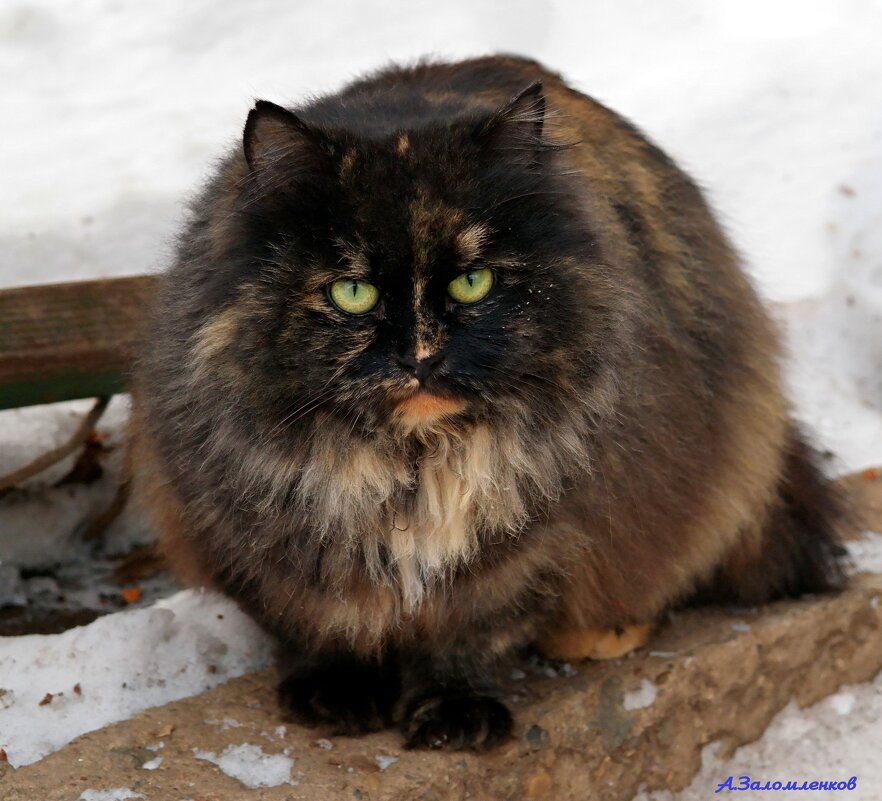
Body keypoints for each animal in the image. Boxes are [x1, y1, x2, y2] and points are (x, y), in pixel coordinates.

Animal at [127, 54, 844, 752]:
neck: (412, 470)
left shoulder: (533, 549)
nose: (420, 356)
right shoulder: (254, 539)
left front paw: (453, 713)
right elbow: (315, 625)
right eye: (352, 292)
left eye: (473, 282)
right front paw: (339, 692)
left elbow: (468, 635)